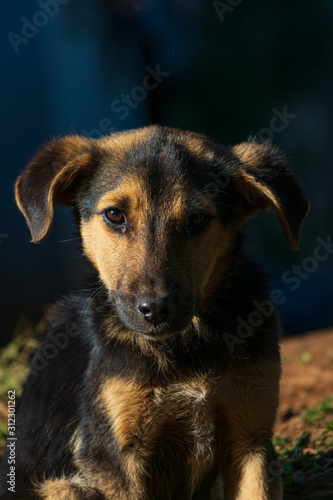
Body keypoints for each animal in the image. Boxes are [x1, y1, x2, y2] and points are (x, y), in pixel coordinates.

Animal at [0, 124, 308, 496]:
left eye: (196, 219)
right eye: (114, 215)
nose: (155, 309)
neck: (187, 346)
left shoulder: (252, 441)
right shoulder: (113, 454)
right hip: (65, 487)